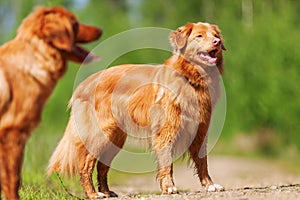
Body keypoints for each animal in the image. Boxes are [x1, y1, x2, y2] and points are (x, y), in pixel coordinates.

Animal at [47, 22, 225, 198]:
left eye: (215, 35)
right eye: (199, 36)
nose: (216, 42)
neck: (190, 78)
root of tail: (84, 84)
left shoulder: (200, 131)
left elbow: (203, 162)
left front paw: (210, 185)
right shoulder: (166, 132)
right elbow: (167, 163)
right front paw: (169, 187)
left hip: (115, 138)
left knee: (102, 167)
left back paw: (107, 191)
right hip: (100, 134)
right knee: (85, 166)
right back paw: (93, 194)